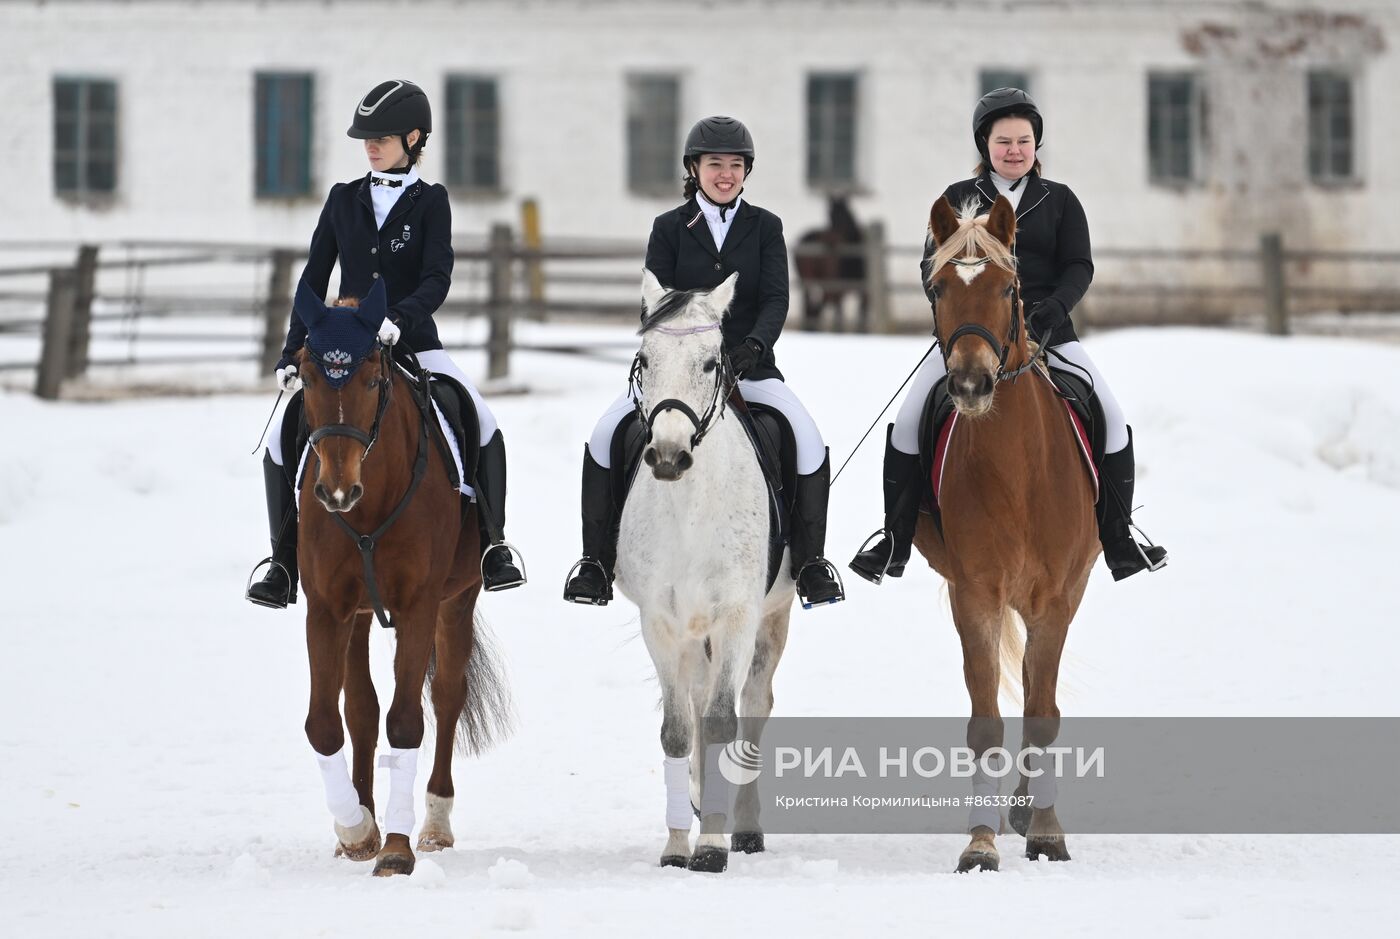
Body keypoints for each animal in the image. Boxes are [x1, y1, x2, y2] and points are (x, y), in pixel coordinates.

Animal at [292, 282, 512, 878]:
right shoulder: (327, 608)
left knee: (447, 695)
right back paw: (360, 817)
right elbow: (326, 723)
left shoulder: (419, 606)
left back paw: (434, 823)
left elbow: (408, 720)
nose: (336, 491)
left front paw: (395, 847)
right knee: (361, 709)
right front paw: (357, 831)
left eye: (372, 378)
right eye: (307, 376)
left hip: (457, 601)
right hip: (361, 615)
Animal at [795, 193, 868, 333]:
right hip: (809, 281)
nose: (831, 242)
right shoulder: (838, 291)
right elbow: (839, 317)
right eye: (829, 215)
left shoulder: (863, 292)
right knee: (812, 309)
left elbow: (861, 317)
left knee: (814, 309)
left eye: (844, 214)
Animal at [912, 195, 1097, 873]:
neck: (1017, 468)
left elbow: (1042, 715)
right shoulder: (976, 595)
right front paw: (980, 843)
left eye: (1009, 288)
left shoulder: (1058, 600)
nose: (971, 385)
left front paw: (1045, 831)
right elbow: (986, 720)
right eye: (938, 286)